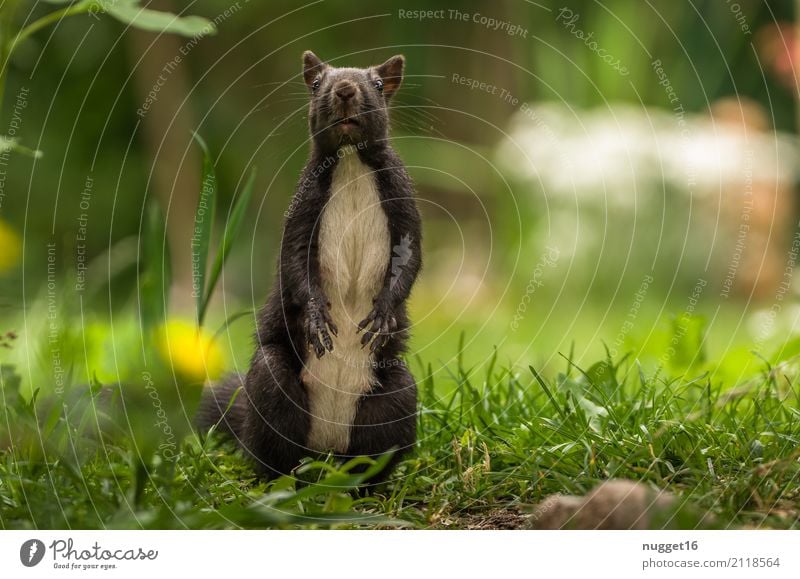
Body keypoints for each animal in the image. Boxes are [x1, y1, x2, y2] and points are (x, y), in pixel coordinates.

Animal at [198, 53, 424, 480]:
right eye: (317, 83)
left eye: (378, 84)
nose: (345, 89)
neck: (351, 163)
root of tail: (326, 448)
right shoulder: (302, 206)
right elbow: (294, 262)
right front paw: (317, 318)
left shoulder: (403, 199)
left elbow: (412, 259)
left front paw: (383, 314)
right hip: (272, 387)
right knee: (272, 447)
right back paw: (281, 482)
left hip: (396, 394)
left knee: (374, 448)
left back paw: (363, 484)